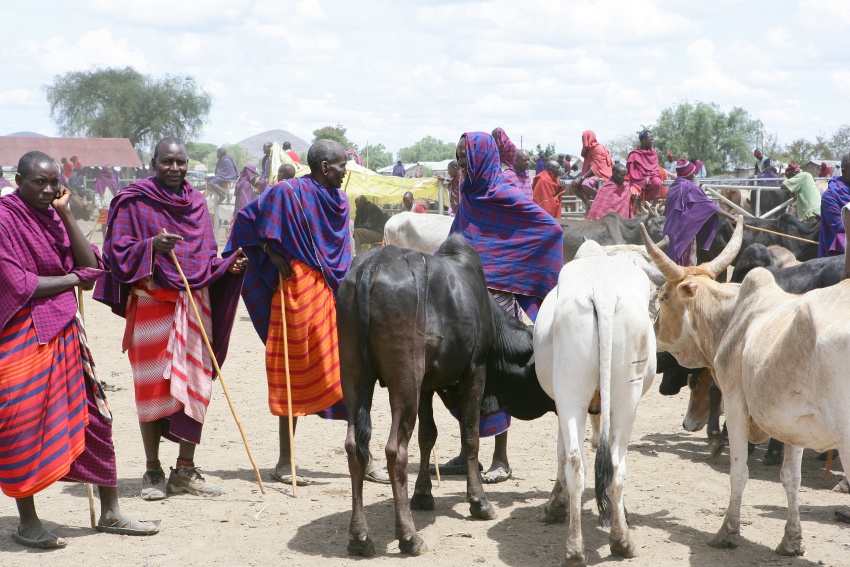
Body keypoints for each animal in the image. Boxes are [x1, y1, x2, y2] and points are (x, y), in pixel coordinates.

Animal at [334, 236, 552, 560]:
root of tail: (372, 264)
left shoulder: (426, 386)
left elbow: (428, 436)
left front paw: (423, 494)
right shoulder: (476, 373)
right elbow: (470, 436)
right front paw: (479, 502)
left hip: (355, 377)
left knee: (354, 447)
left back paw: (359, 536)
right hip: (404, 380)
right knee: (395, 451)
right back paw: (409, 536)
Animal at [528, 254, 656, 567]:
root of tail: (604, 291)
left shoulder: (564, 405)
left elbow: (564, 452)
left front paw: (556, 505)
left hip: (571, 391)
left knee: (577, 461)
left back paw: (575, 549)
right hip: (627, 397)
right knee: (615, 462)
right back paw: (621, 542)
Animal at [640, 219, 844, 560]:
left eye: (665, 296)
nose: (652, 331)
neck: (732, 317)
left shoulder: (736, 405)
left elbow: (739, 470)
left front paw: (727, 532)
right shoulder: (793, 424)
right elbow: (791, 477)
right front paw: (791, 541)